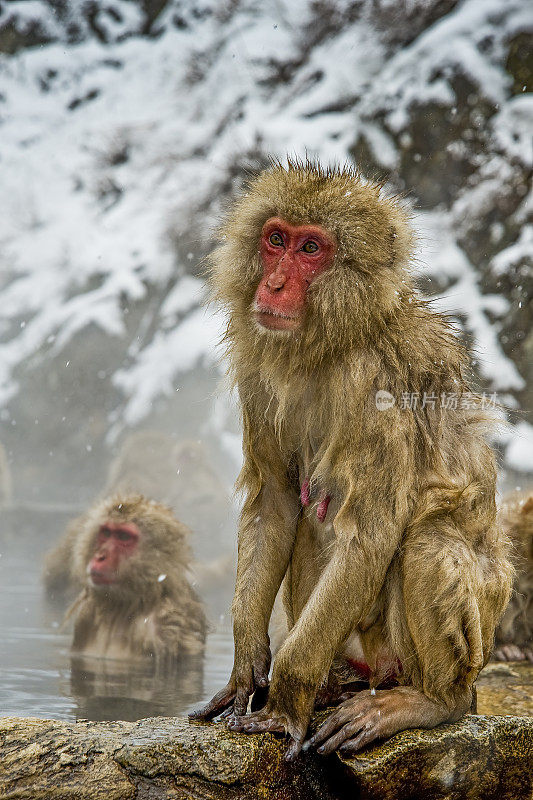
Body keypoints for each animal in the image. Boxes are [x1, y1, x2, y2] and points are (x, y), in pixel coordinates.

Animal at [190, 159, 512, 760]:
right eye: (276, 240)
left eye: (311, 249)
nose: (273, 284)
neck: (331, 343)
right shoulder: (260, 372)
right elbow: (275, 500)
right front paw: (247, 662)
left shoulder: (377, 388)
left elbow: (370, 535)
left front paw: (284, 702)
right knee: (310, 512)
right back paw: (335, 684)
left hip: (466, 639)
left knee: (429, 537)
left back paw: (432, 701)